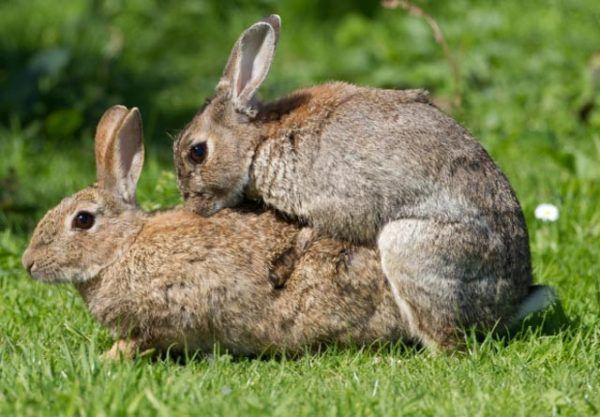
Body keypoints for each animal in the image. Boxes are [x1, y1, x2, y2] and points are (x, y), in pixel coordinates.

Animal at [172, 14, 536, 348]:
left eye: (197, 152)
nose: (192, 206)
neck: (259, 141)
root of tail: (510, 304)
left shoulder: (337, 201)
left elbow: (316, 231)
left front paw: (281, 267)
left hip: (413, 249)